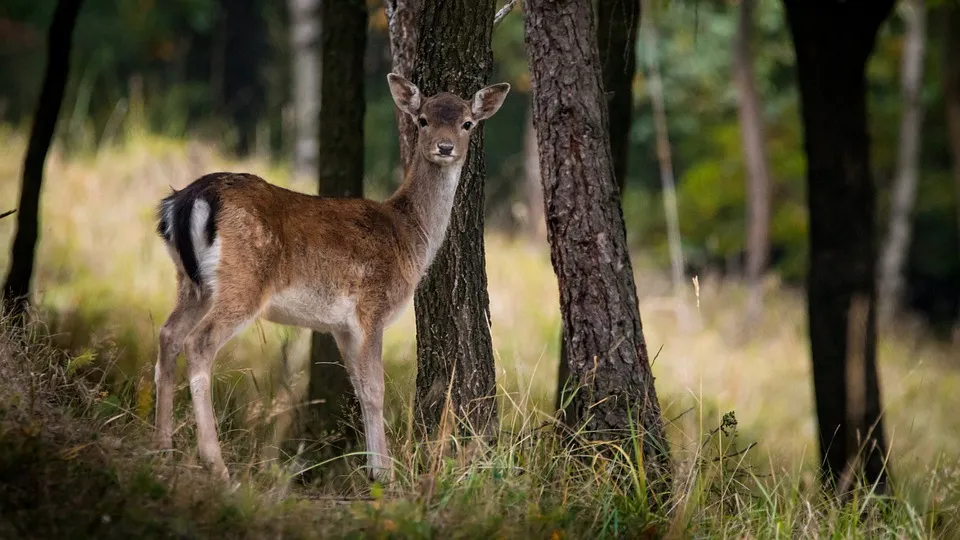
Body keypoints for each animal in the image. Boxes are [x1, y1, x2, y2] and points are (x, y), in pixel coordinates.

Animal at [152, 73, 510, 482]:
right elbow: (375, 387)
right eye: (422, 120)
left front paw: (373, 467)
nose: (445, 146)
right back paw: (217, 464)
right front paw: (384, 474)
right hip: (243, 282)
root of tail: (185, 201)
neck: (410, 236)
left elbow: (358, 387)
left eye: (467, 123)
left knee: (168, 335)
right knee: (199, 343)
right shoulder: (372, 307)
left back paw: (161, 449)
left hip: (191, 283)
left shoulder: (340, 326)